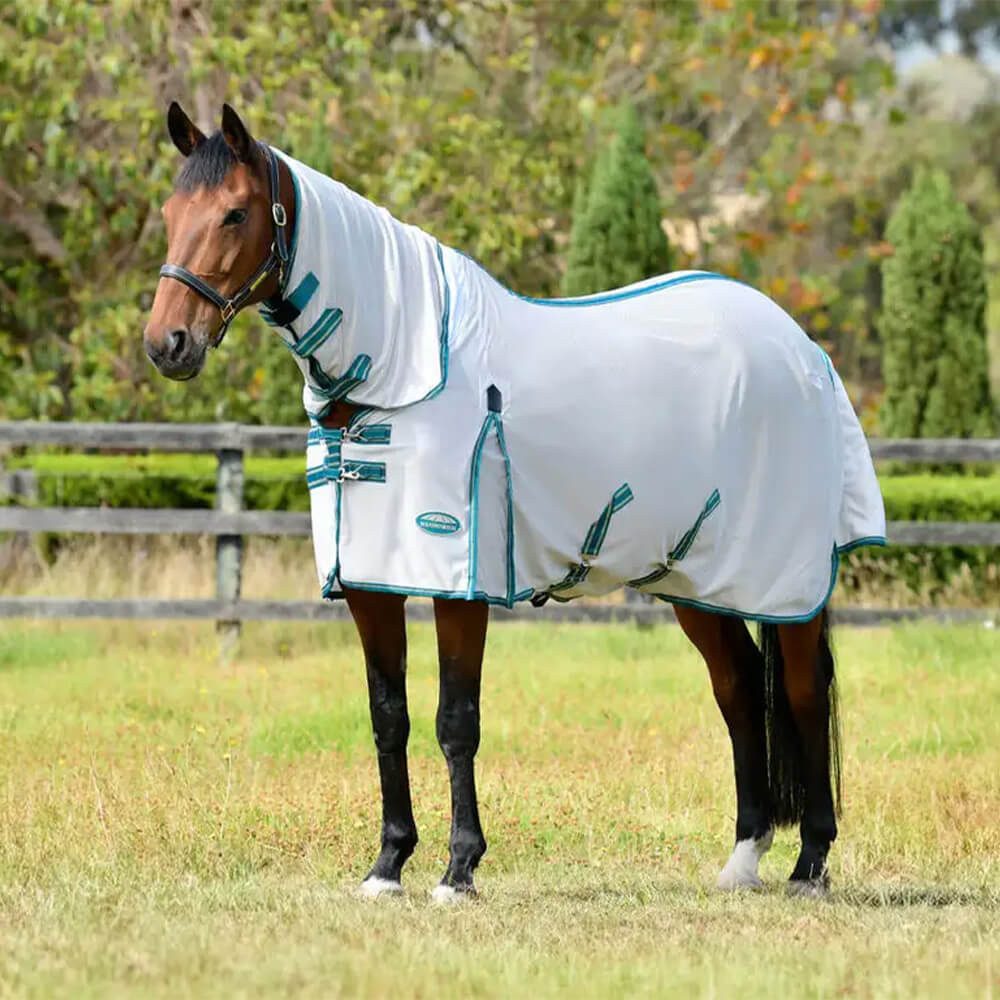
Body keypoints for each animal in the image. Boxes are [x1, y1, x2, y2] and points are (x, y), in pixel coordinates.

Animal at [144, 103, 886, 901]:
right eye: (171, 213)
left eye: (234, 213)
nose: (167, 343)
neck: (402, 366)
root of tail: (804, 350)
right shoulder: (374, 584)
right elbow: (388, 717)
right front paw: (387, 866)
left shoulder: (458, 586)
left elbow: (455, 720)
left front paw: (458, 868)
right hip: (695, 579)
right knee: (739, 688)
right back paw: (743, 860)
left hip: (788, 585)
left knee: (804, 693)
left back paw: (810, 865)